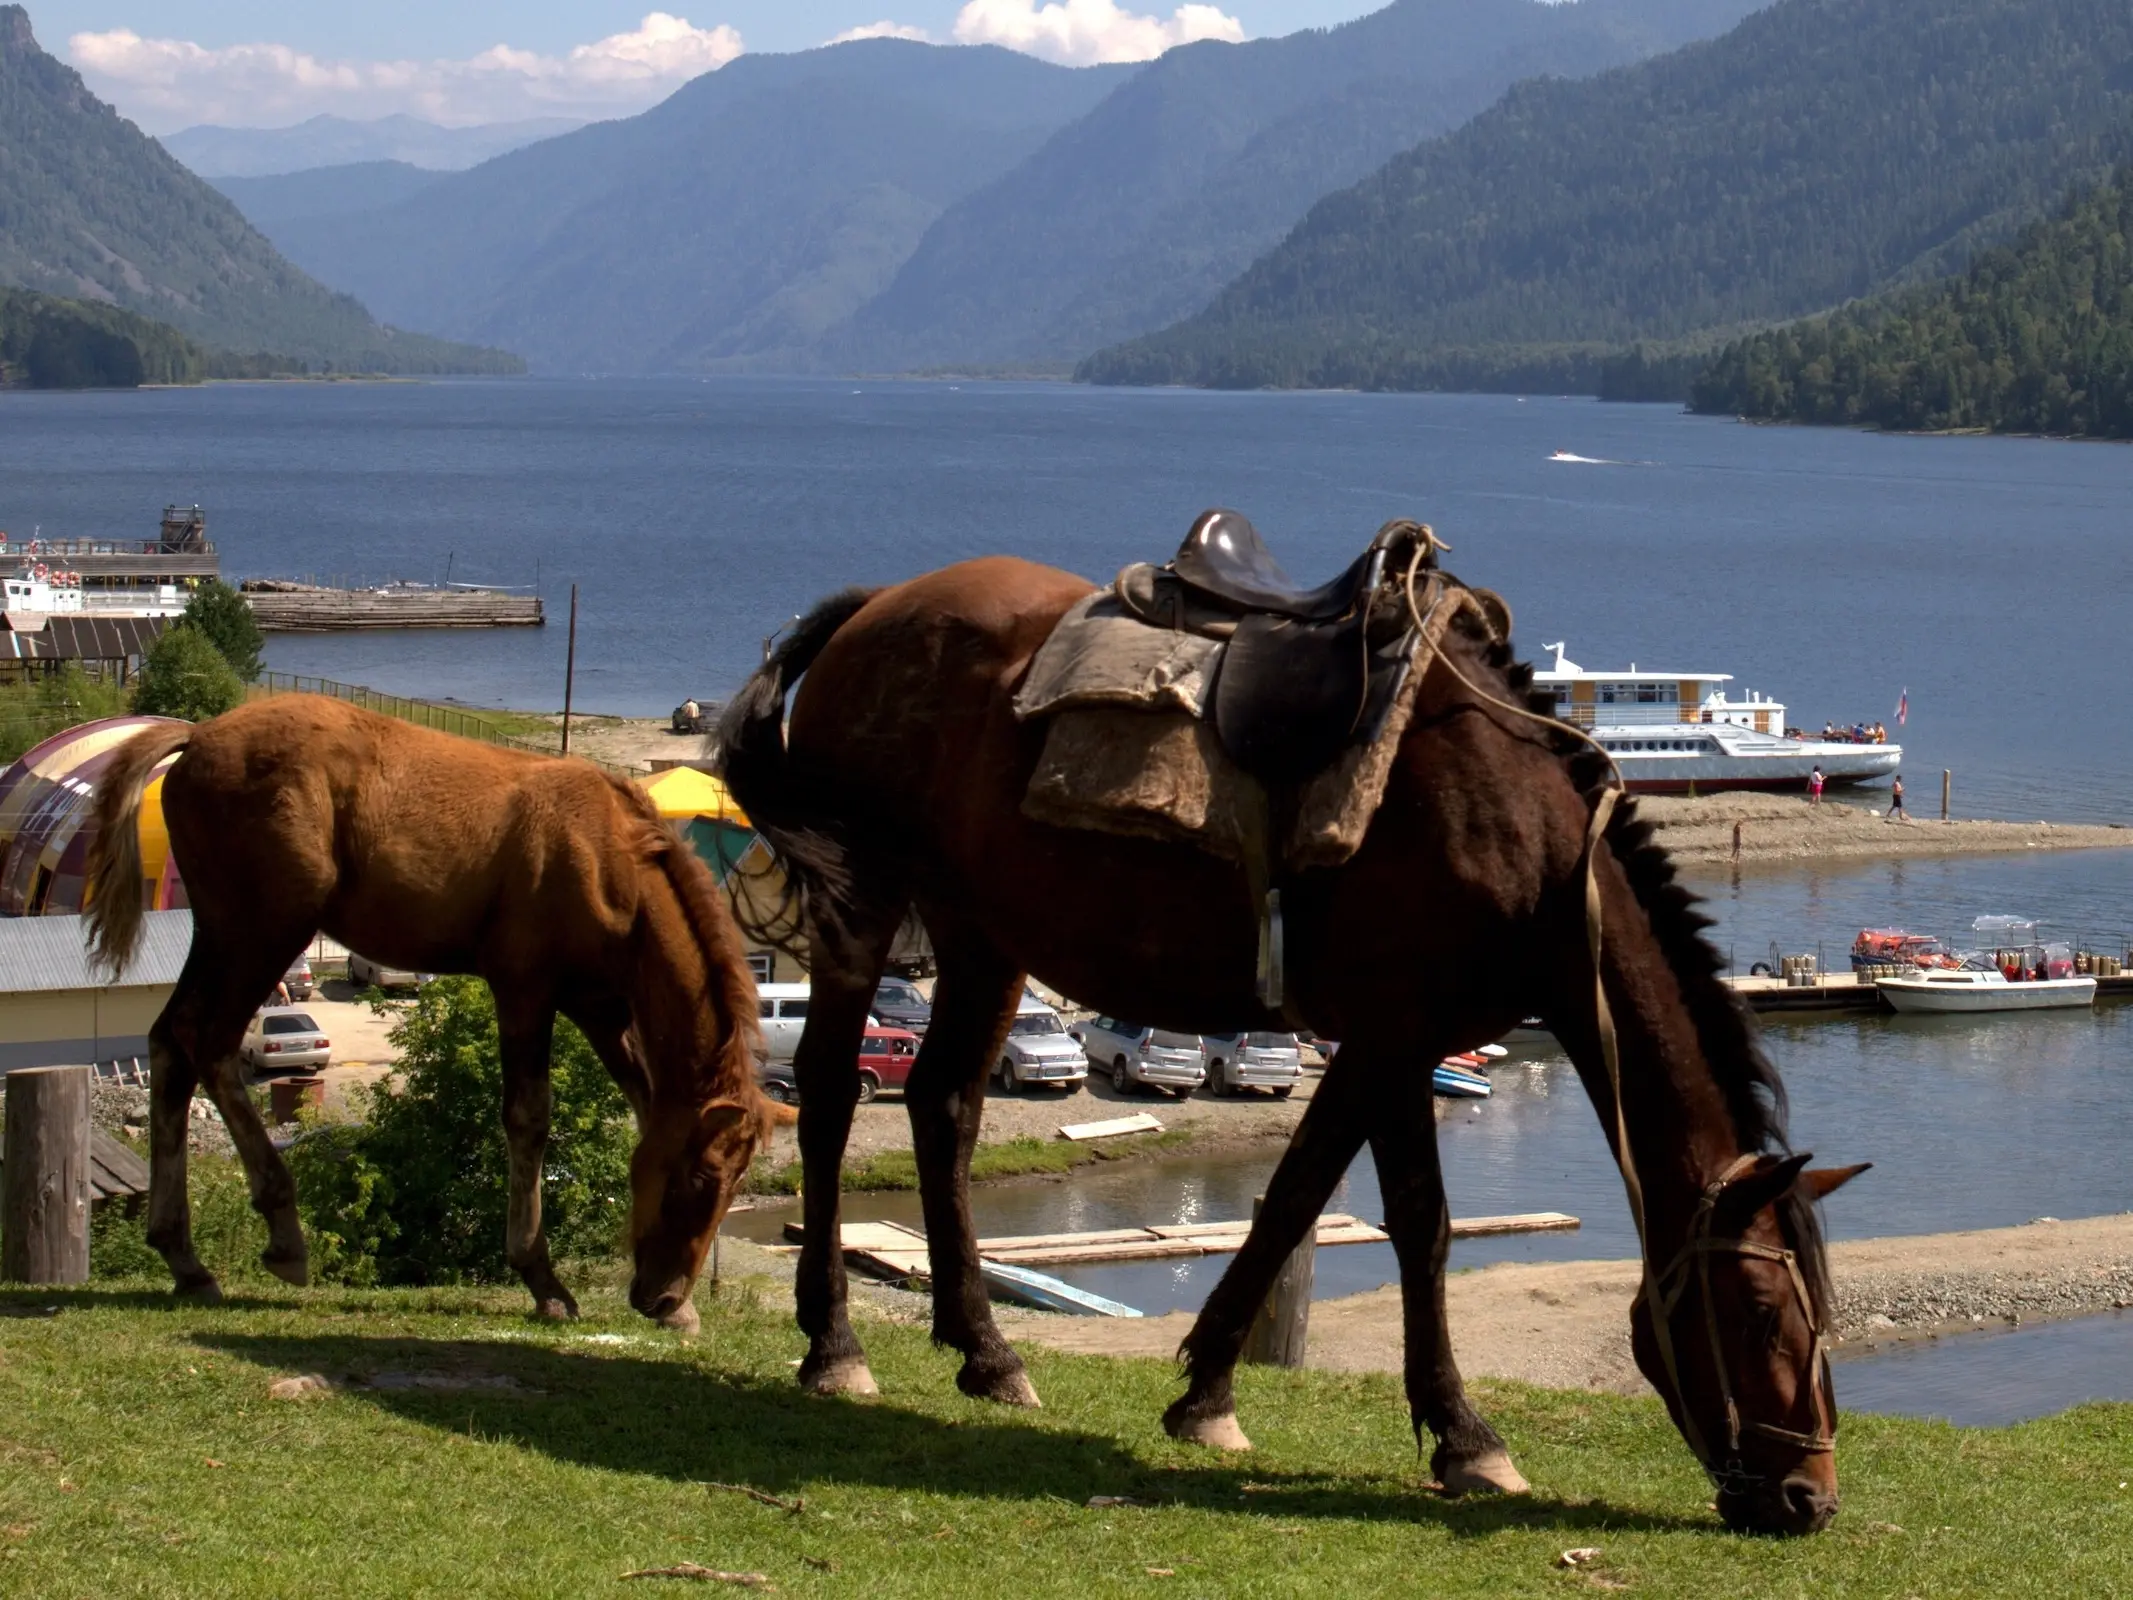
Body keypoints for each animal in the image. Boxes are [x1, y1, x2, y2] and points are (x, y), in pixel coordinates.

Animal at [85, 695, 784, 1331]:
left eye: (734, 1187)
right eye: (697, 1179)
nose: (663, 1296)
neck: (611, 862)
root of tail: (197, 737)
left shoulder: (601, 1010)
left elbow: (643, 1108)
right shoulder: (525, 989)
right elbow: (529, 1118)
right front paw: (542, 1278)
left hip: (223, 936)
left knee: (171, 1040)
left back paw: (183, 1257)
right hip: (262, 932)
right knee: (208, 1040)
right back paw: (281, 1233)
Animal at [725, 563, 1859, 1544]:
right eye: (1763, 1315)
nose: (1808, 1496)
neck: (1522, 837)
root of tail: (879, 608)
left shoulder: (1380, 1043)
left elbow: (1298, 1197)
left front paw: (1207, 1393)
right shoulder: (1396, 1032)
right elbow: (1413, 1224)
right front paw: (1465, 1438)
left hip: (982, 934)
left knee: (944, 1108)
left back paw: (986, 1354)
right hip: (865, 904)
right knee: (830, 1098)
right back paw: (834, 1346)